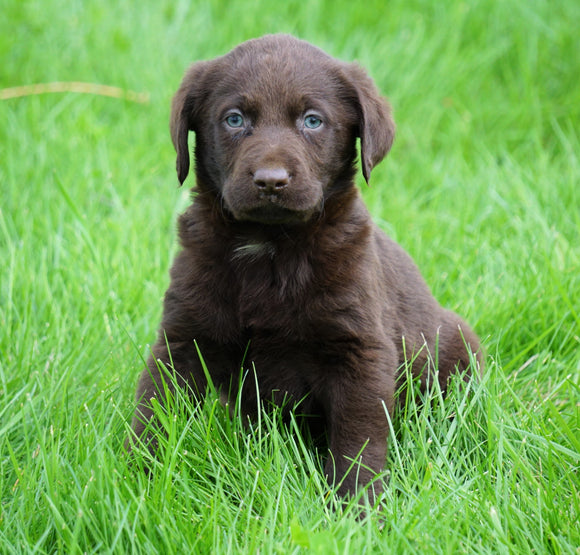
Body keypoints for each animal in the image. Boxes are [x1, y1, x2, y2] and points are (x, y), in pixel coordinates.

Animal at [129, 33, 482, 504]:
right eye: (234, 119)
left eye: (313, 121)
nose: (271, 180)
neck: (270, 247)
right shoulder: (184, 339)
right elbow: (155, 410)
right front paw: (135, 482)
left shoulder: (359, 351)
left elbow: (357, 438)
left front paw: (357, 505)